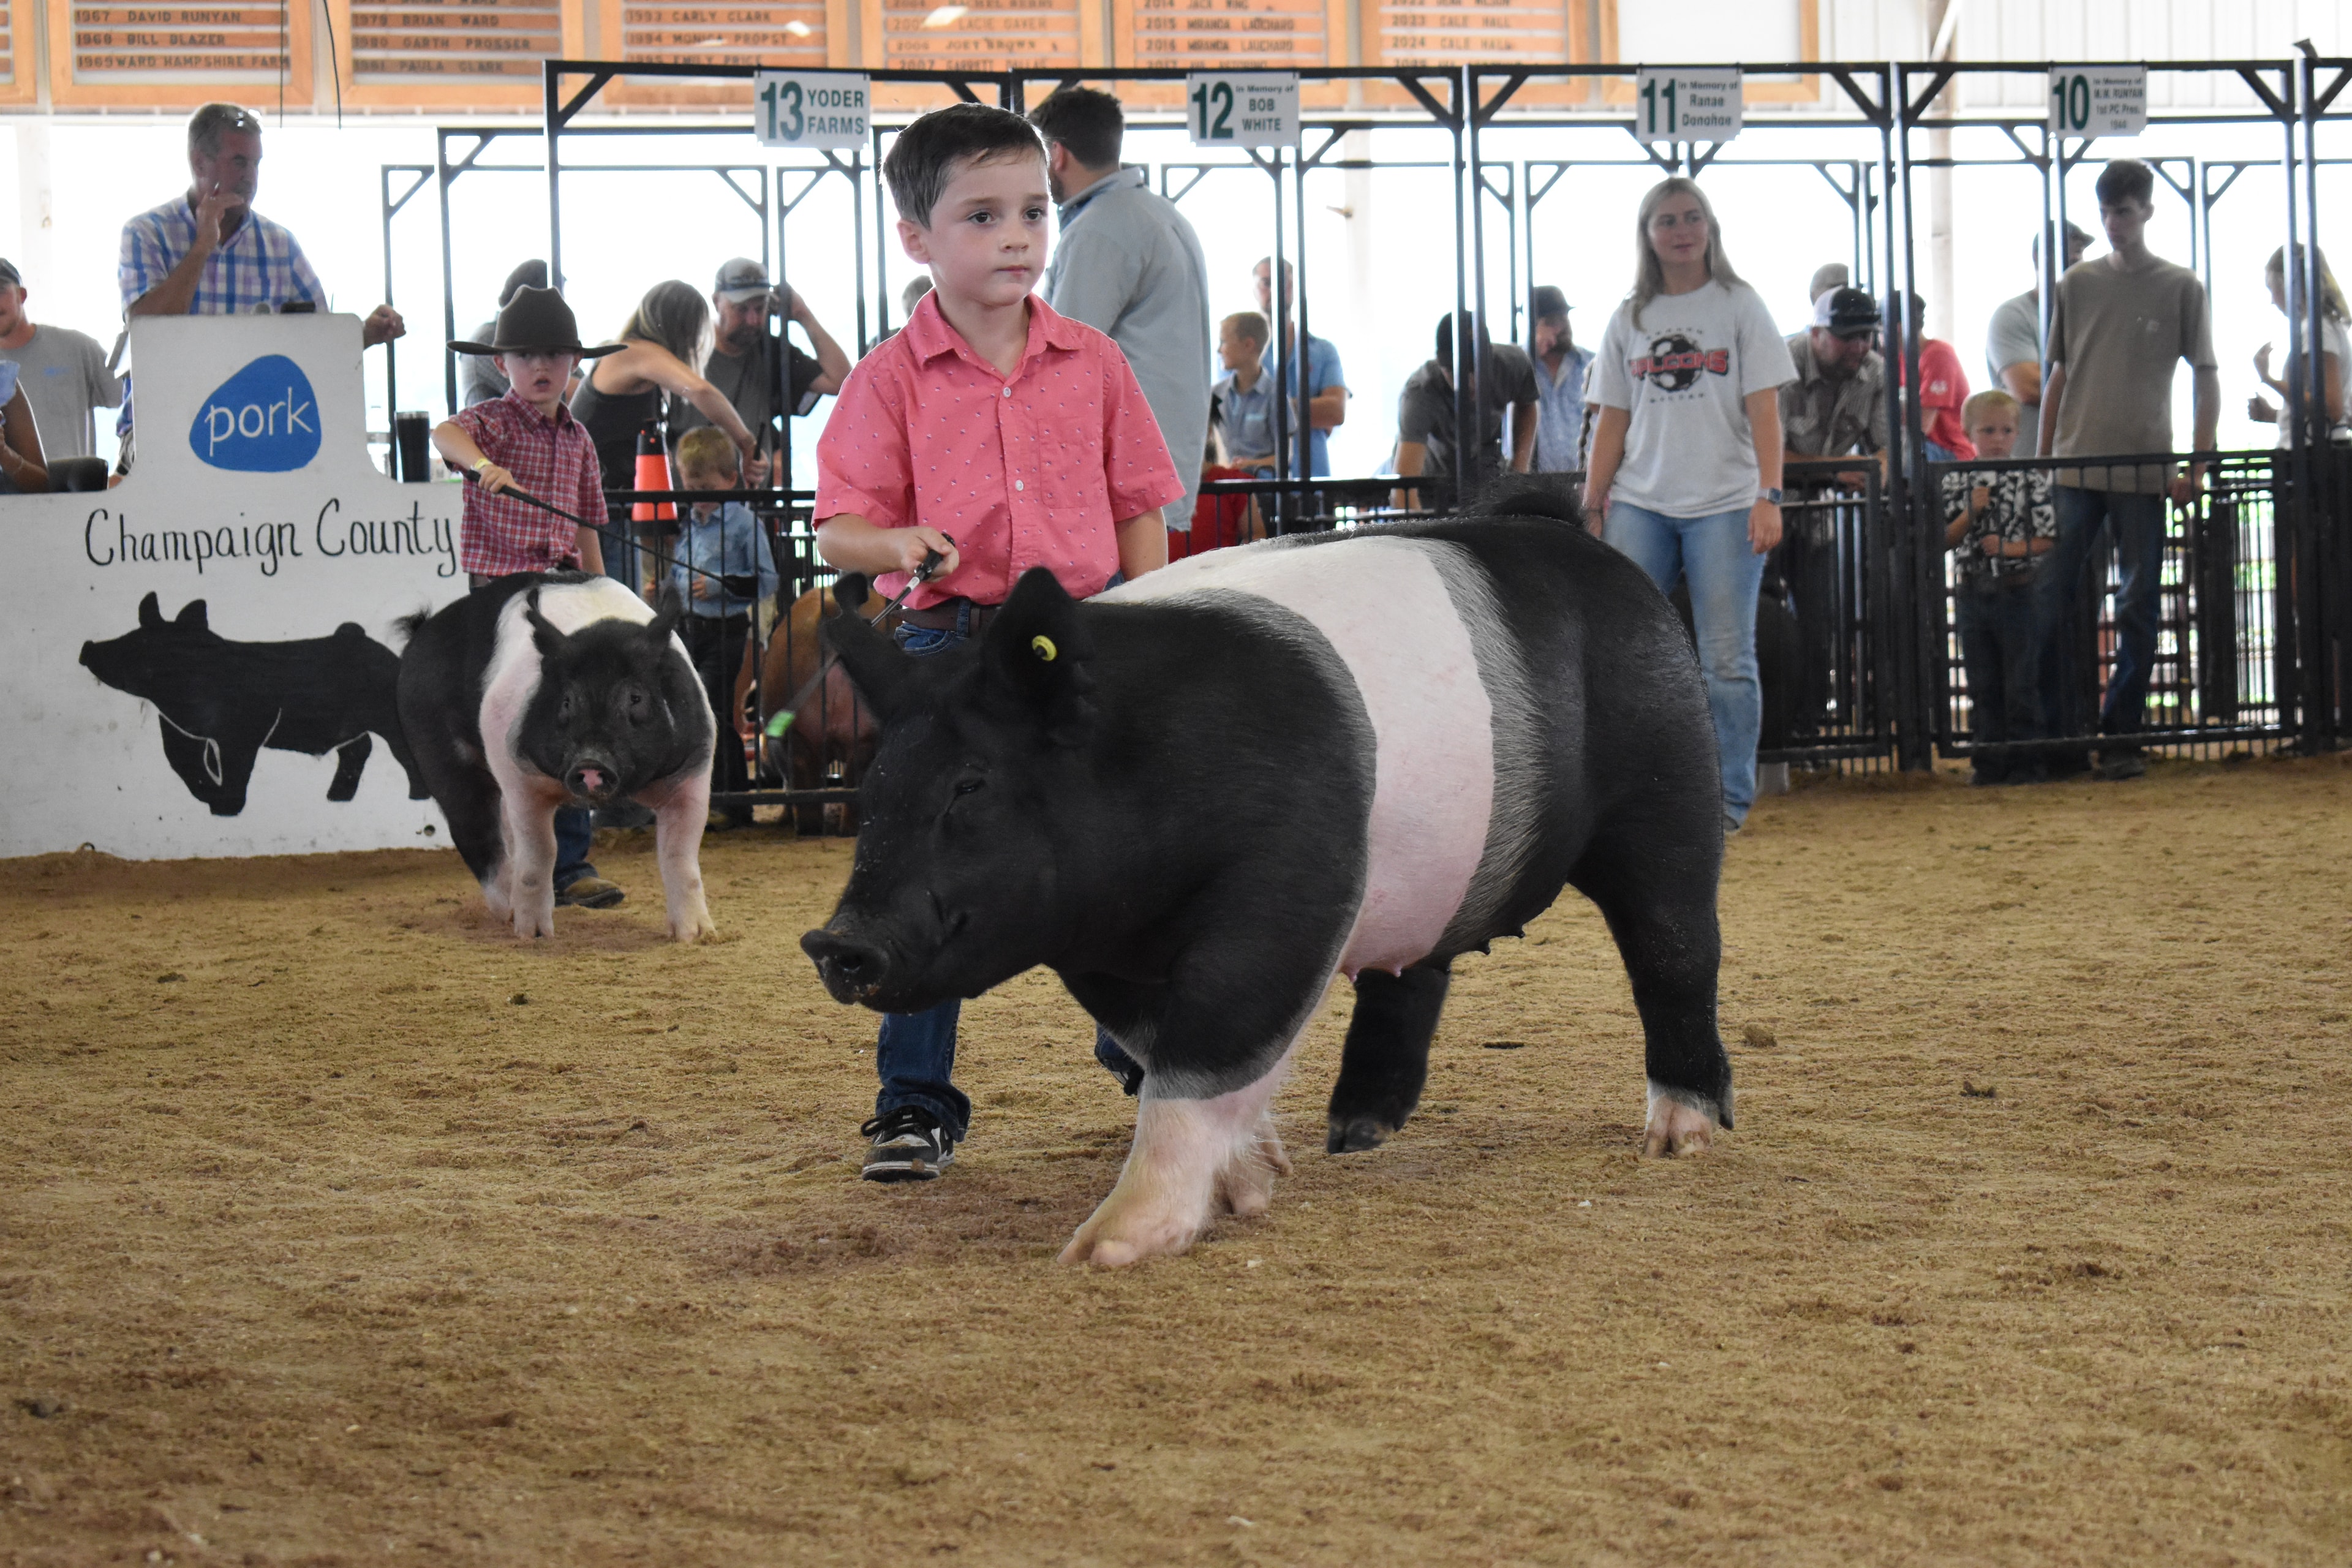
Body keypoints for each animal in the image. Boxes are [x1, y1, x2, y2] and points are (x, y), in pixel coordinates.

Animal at [397, 572, 717, 942]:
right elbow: (540, 854)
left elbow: (680, 856)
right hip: (437, 748)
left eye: (636, 697)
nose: (591, 763)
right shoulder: (519, 777)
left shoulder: (692, 773)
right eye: (566, 701)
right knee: (475, 832)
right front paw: (534, 935)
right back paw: (508, 913)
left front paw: (697, 936)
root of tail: (421, 632)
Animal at [800, 492, 1732, 1267]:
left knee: (1676, 950)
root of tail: (1588, 545)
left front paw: (1103, 1248)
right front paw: (1256, 1183)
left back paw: (1682, 1138)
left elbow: (1210, 1046)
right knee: (1413, 976)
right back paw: (1353, 1135)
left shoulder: (1287, 894)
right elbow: (1164, 1049)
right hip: (1430, 870)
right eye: (874, 788)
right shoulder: (1104, 954)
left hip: (1670, 780)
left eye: (972, 785)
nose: (834, 941)